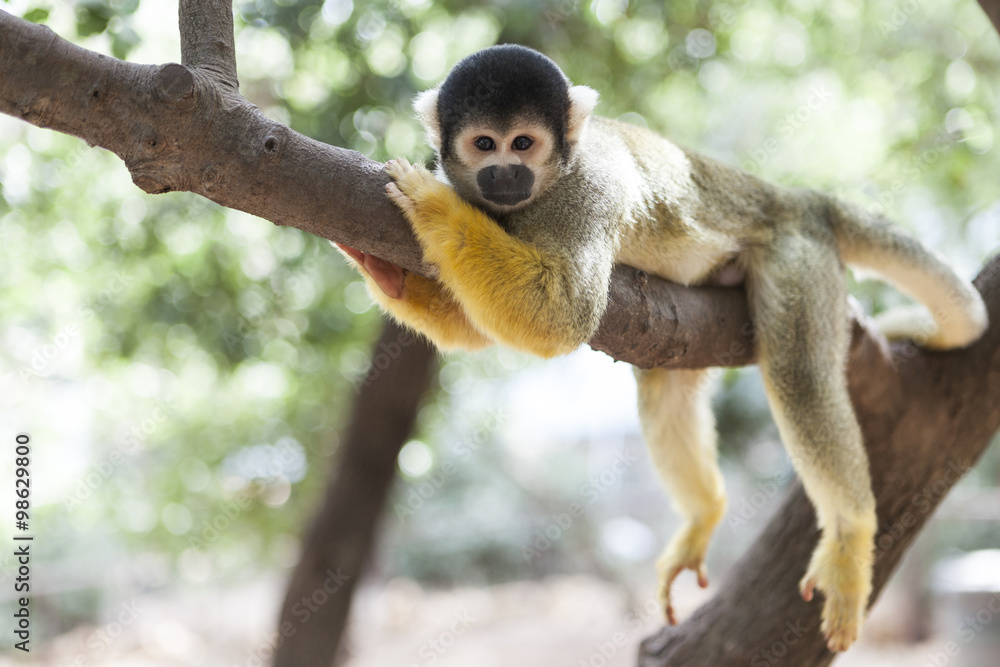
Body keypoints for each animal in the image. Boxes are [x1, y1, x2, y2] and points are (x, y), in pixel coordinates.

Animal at [337, 44, 988, 652]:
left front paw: (432, 206)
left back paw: (851, 534)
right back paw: (705, 511)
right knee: (665, 377)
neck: (537, 194)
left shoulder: (588, 188)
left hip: (795, 253)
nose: (503, 175)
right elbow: (480, 326)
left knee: (800, 373)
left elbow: (561, 315)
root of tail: (792, 196)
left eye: (522, 143)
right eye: (483, 144)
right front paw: (382, 271)